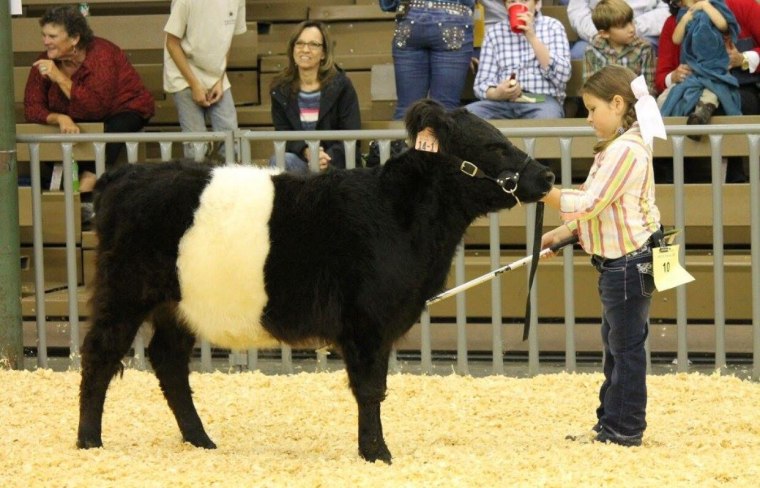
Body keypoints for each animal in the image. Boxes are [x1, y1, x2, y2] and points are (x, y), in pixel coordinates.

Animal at [75, 98, 552, 462]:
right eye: (494, 145)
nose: (546, 175)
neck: (396, 214)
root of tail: (122, 175)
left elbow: (373, 388)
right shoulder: (366, 323)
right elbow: (370, 389)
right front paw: (377, 454)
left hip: (178, 304)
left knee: (168, 362)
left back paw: (201, 440)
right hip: (125, 291)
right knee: (100, 355)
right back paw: (89, 441)